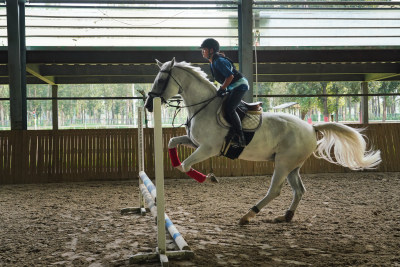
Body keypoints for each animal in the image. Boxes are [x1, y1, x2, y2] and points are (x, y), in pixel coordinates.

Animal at [145, 59, 382, 226]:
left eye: (161, 80)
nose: (148, 105)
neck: (205, 108)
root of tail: (311, 127)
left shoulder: (207, 149)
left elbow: (185, 166)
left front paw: (208, 178)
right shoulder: (195, 143)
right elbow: (172, 143)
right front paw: (202, 174)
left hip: (283, 163)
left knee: (275, 190)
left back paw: (248, 215)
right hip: (292, 165)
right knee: (299, 190)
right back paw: (286, 216)